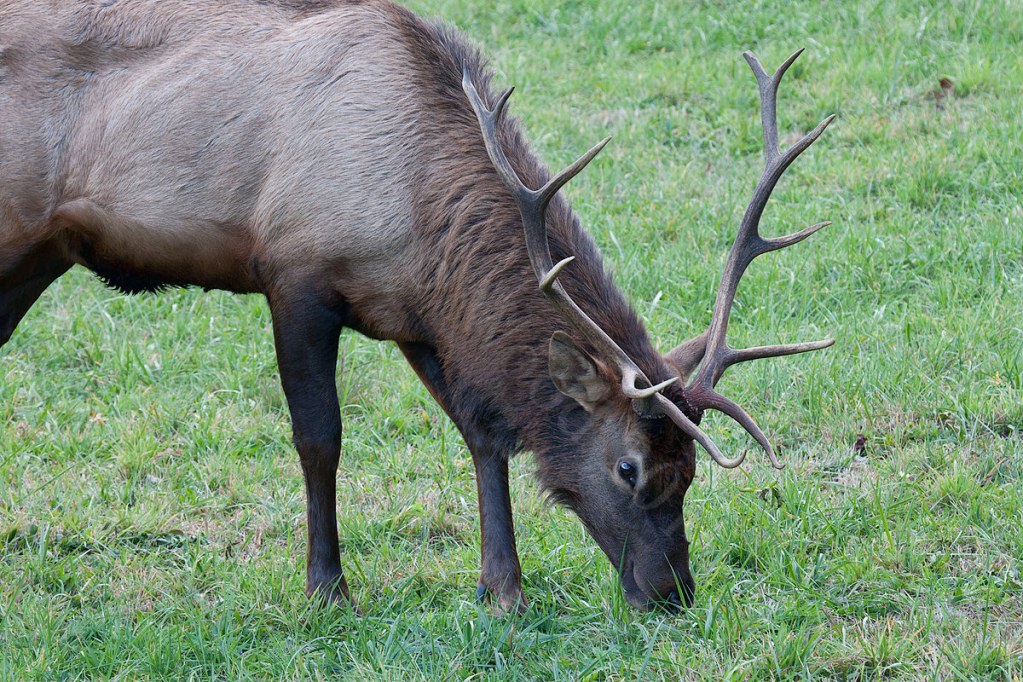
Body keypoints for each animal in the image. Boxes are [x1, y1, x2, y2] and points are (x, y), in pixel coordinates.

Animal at [0, 0, 834, 613]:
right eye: (628, 468)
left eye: (688, 471)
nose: (672, 595)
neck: (417, 220)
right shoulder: (295, 273)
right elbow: (320, 439)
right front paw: (328, 590)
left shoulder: (418, 320)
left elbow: (484, 435)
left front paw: (503, 591)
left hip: (36, 254)